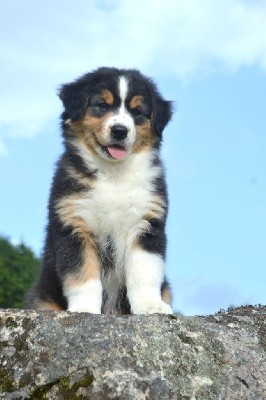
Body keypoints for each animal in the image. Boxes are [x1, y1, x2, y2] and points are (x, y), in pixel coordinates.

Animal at [26, 67, 174, 314]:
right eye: (102, 105)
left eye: (137, 112)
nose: (120, 131)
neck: (113, 174)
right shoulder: (74, 223)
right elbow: (83, 275)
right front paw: (84, 309)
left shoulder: (146, 223)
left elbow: (144, 272)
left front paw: (150, 306)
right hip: (40, 297)